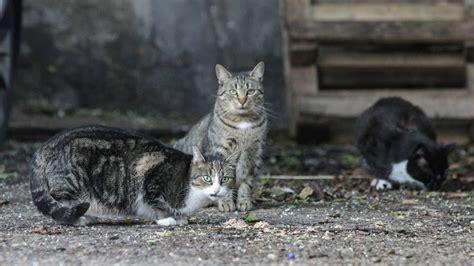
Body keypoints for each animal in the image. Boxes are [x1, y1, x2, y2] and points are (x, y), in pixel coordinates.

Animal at [29, 125, 235, 225]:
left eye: (225, 179)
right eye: (207, 178)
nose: (217, 190)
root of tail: (49, 143)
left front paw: (179, 217)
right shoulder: (151, 180)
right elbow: (157, 203)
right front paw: (167, 219)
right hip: (72, 185)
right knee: (61, 204)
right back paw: (79, 218)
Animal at [173, 62, 266, 212]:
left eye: (250, 91)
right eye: (233, 91)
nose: (242, 101)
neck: (243, 124)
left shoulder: (254, 155)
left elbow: (246, 182)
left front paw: (244, 201)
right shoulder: (220, 150)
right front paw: (226, 202)